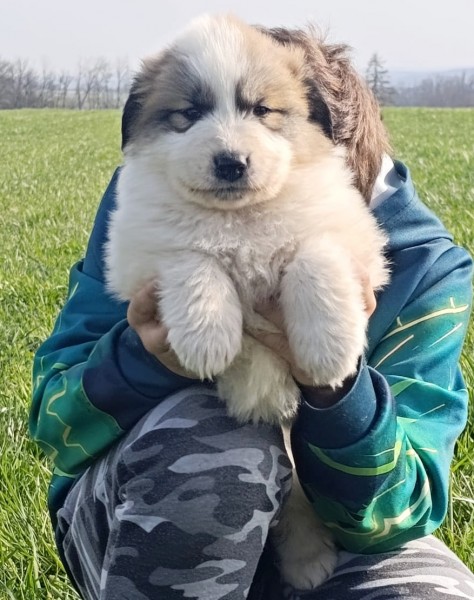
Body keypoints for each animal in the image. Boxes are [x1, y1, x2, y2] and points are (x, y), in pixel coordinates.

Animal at [105, 14, 390, 590]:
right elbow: (192, 257)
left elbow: (314, 254)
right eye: (189, 114)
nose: (231, 162)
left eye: (262, 110)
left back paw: (309, 561)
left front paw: (329, 350)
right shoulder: (138, 251)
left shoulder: (352, 237)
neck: (239, 217)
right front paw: (209, 340)